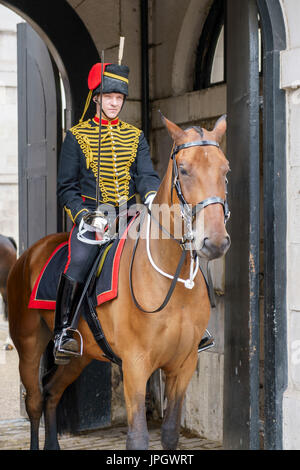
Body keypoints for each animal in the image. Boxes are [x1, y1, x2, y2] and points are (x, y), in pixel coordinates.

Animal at [6, 115, 230, 450]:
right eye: (184, 169)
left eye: (225, 169)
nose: (215, 242)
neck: (170, 283)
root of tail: (29, 254)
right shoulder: (136, 364)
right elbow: (137, 437)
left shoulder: (184, 364)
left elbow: (170, 433)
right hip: (29, 343)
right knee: (34, 399)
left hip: (79, 356)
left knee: (52, 392)